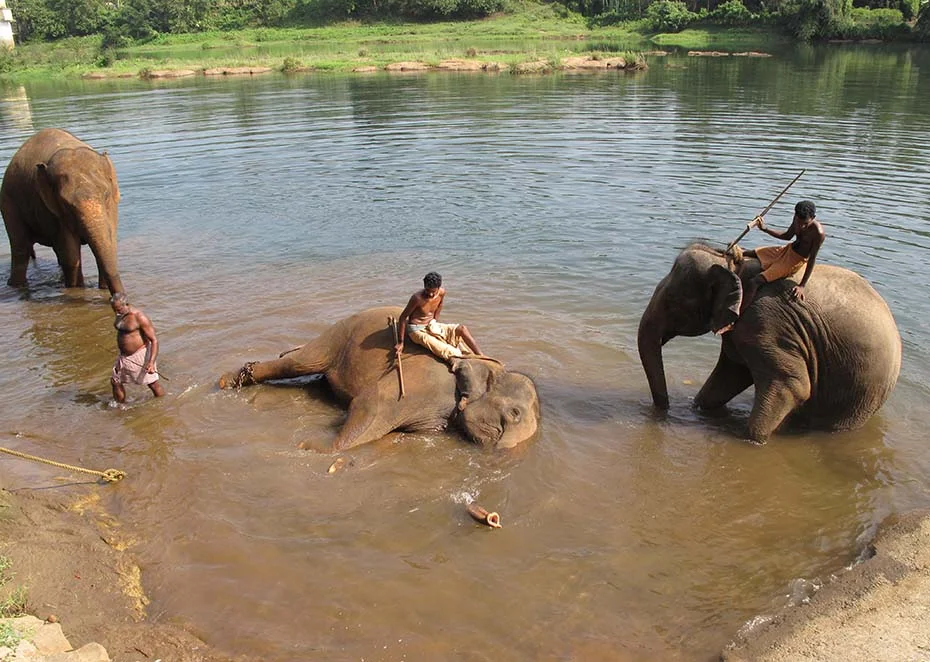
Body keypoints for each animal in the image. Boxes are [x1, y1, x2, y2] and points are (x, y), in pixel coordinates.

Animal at [1, 128, 124, 294]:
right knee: (21, 249)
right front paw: (76, 289)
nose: (119, 299)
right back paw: (15, 285)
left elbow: (108, 243)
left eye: (106, 196)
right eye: (66, 204)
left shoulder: (112, 208)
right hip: (8, 202)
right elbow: (71, 255)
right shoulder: (50, 209)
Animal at [218, 306, 541, 451]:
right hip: (340, 334)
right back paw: (227, 381)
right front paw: (316, 450)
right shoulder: (421, 384)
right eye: (514, 413)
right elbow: (368, 403)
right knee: (298, 362)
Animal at [638, 242, 901, 443]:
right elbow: (730, 374)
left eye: (672, 302)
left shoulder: (764, 322)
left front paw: (752, 440)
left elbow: (792, 385)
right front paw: (701, 408)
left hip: (859, 391)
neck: (733, 265)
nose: (663, 413)